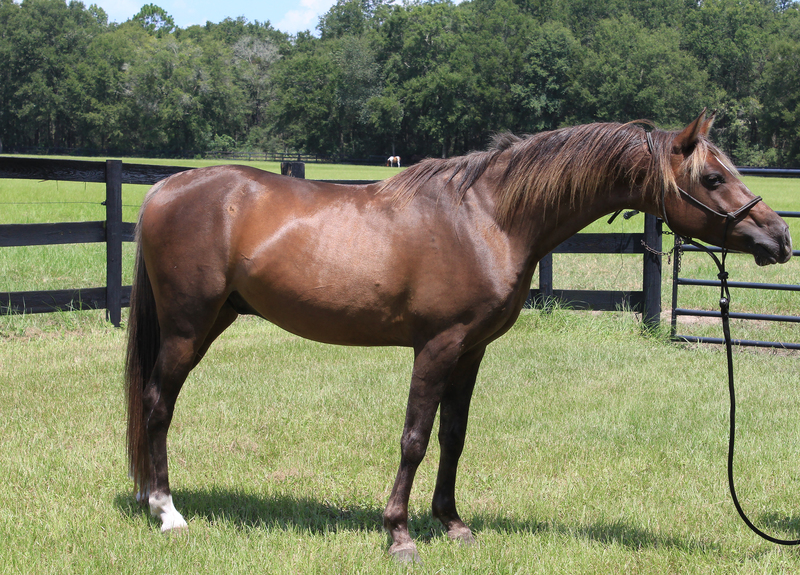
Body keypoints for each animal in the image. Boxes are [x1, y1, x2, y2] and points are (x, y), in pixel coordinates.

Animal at [126, 111, 792, 564]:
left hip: (212, 321)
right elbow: (415, 439)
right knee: (157, 405)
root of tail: (163, 189)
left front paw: (451, 523)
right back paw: (167, 512)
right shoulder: (437, 347)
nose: (779, 237)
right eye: (713, 177)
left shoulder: (471, 350)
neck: (488, 218)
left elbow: (454, 437)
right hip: (187, 329)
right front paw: (399, 533)